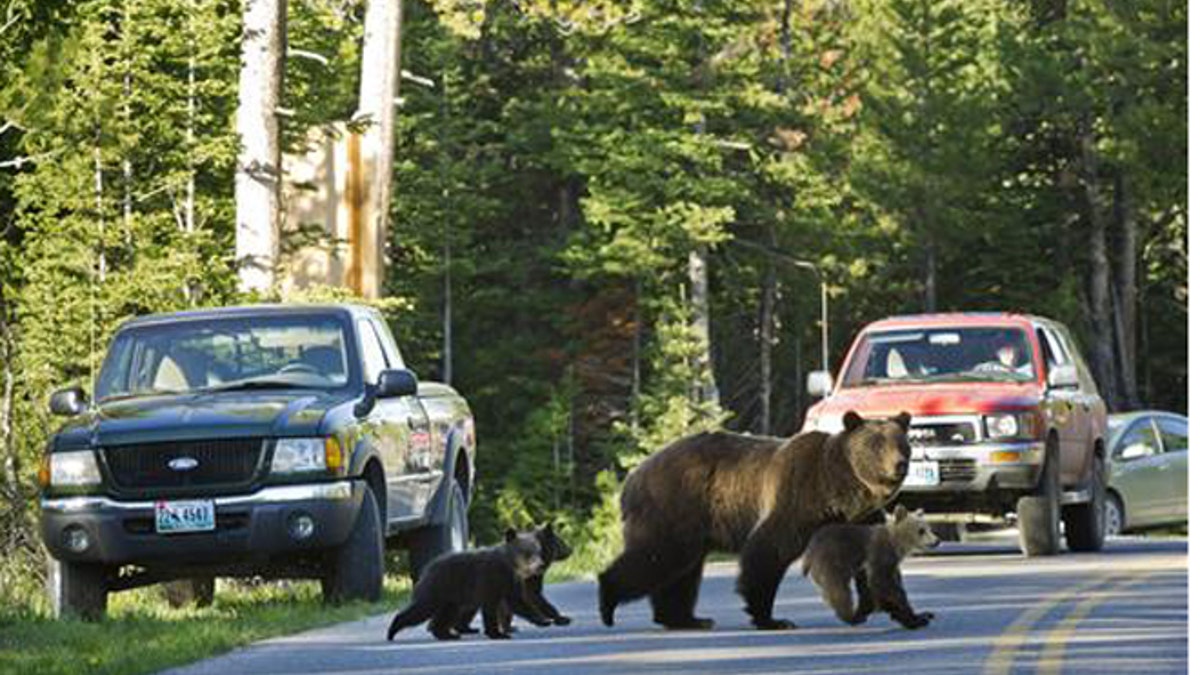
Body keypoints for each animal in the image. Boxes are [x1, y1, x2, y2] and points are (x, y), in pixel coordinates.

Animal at [386, 528, 549, 638]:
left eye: (539, 551)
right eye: (527, 552)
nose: (540, 565)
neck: (509, 566)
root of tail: (427, 567)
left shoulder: (512, 582)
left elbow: (519, 603)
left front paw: (543, 619)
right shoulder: (489, 578)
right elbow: (490, 607)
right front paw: (497, 633)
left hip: (451, 597)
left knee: (446, 613)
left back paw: (447, 635)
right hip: (436, 588)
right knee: (421, 608)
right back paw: (392, 630)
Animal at [600, 408, 907, 629]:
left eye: (903, 443)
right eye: (877, 444)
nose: (900, 464)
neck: (840, 492)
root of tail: (633, 476)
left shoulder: (864, 519)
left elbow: (878, 563)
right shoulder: (796, 497)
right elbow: (767, 551)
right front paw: (771, 618)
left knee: (682, 569)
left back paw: (687, 619)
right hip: (674, 505)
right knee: (658, 556)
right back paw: (608, 602)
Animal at [806, 504, 936, 624]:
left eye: (929, 528)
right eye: (921, 530)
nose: (936, 541)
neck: (895, 542)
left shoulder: (890, 562)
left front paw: (921, 615)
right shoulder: (880, 553)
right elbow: (884, 582)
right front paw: (913, 618)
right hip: (833, 559)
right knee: (839, 589)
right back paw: (851, 616)